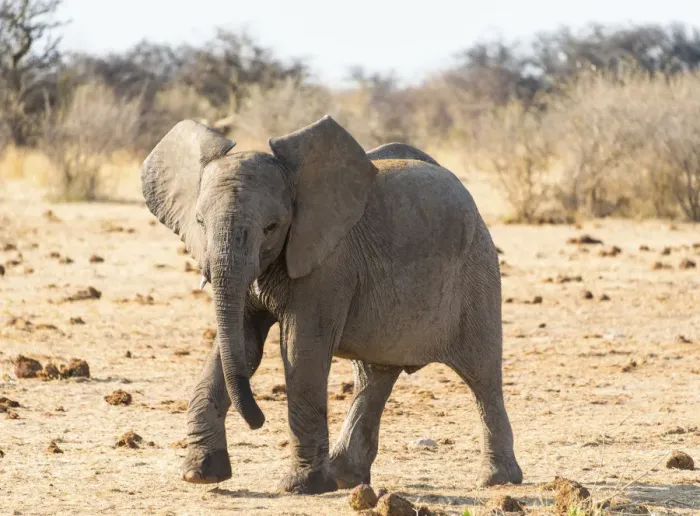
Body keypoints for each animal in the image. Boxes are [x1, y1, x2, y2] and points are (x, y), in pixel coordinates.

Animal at [141, 115, 522, 494]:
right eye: (199, 222)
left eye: (272, 227)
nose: (259, 420)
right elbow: (241, 346)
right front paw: (201, 474)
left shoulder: (328, 265)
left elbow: (300, 350)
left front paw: (301, 487)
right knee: (373, 377)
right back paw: (345, 478)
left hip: (478, 273)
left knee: (482, 375)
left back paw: (497, 479)